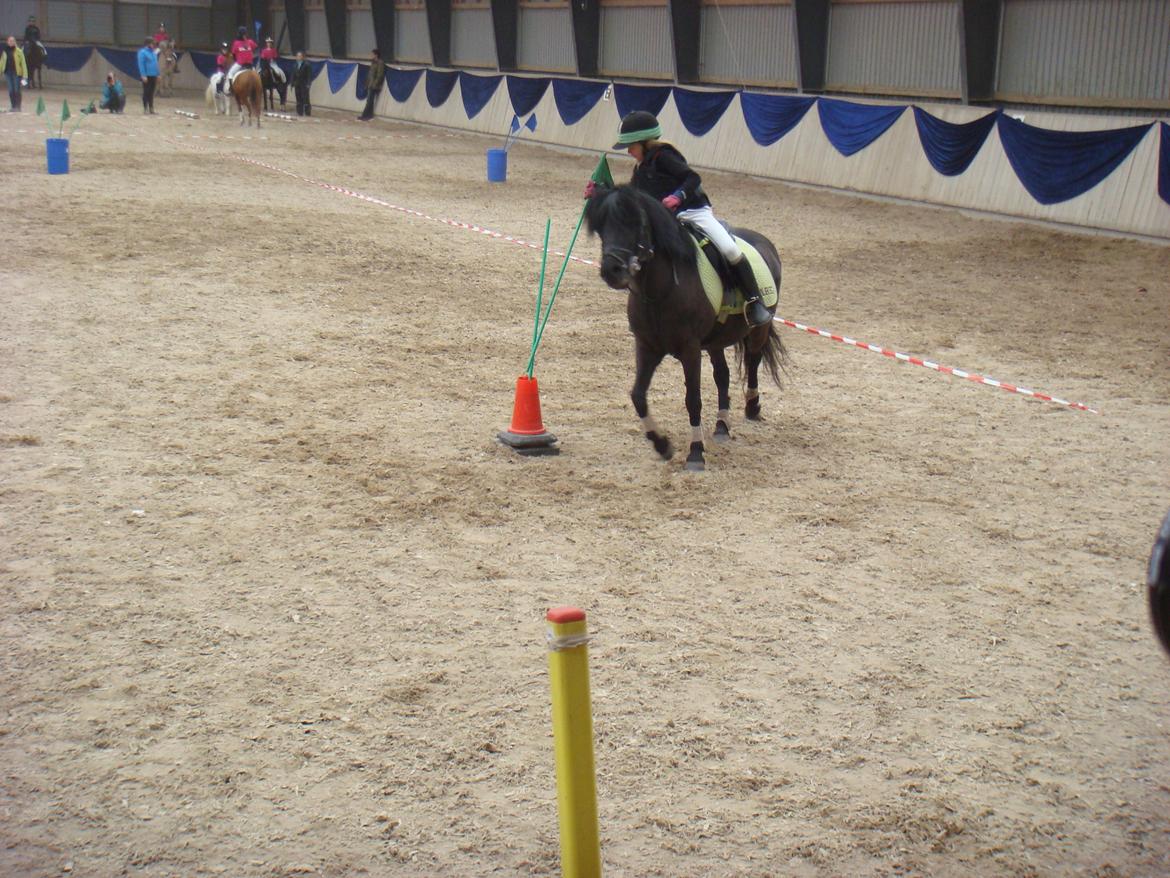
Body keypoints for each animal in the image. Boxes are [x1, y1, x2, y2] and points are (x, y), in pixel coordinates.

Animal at [584, 185, 787, 471]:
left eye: (635, 223)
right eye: (601, 226)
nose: (611, 270)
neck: (661, 291)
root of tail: (763, 241)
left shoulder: (690, 351)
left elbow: (693, 399)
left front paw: (695, 453)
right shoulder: (647, 347)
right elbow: (638, 396)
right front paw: (662, 445)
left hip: (760, 327)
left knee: (753, 360)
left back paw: (752, 406)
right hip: (715, 341)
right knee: (723, 375)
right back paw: (722, 425)